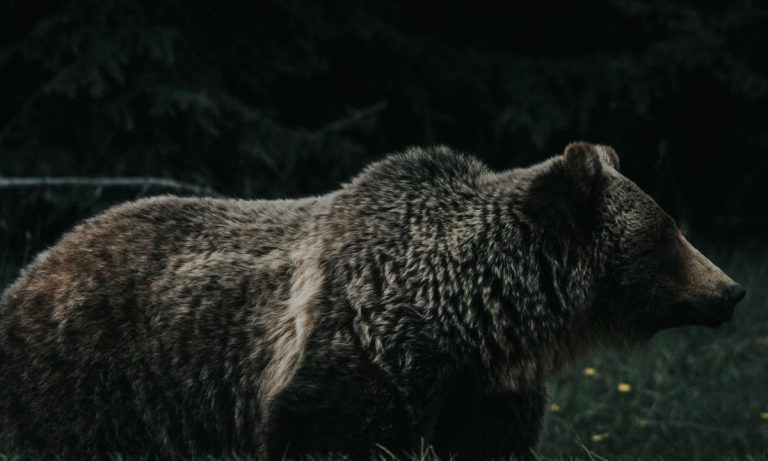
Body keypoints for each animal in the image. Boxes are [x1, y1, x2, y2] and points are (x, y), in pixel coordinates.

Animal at [0, 142, 745, 460]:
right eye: (668, 230)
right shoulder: (354, 355)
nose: (732, 290)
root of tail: (37, 263)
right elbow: (330, 432)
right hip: (95, 377)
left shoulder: (483, 392)